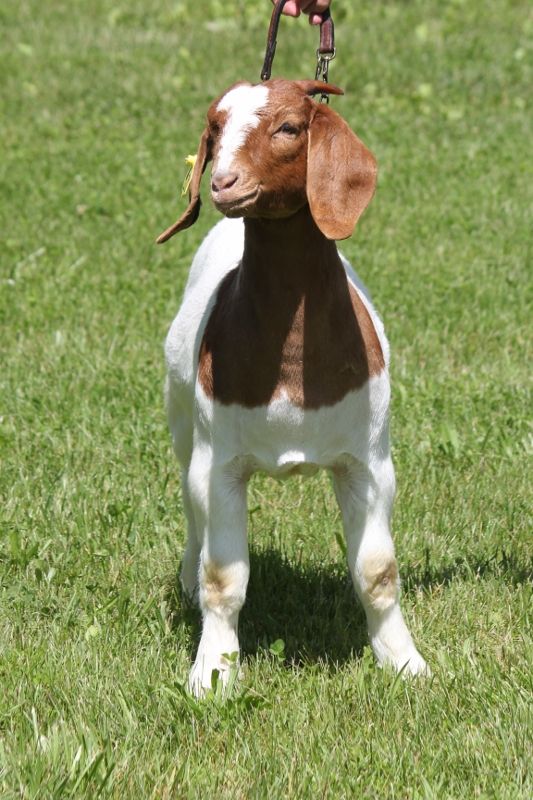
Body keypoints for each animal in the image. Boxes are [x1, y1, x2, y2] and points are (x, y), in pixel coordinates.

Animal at [158, 79, 428, 694]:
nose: (224, 182)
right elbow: (223, 576)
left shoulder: (369, 461)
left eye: (287, 127)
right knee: (189, 502)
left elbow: (378, 571)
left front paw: (404, 661)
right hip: (183, 420)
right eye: (215, 129)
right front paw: (212, 672)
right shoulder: (220, 462)